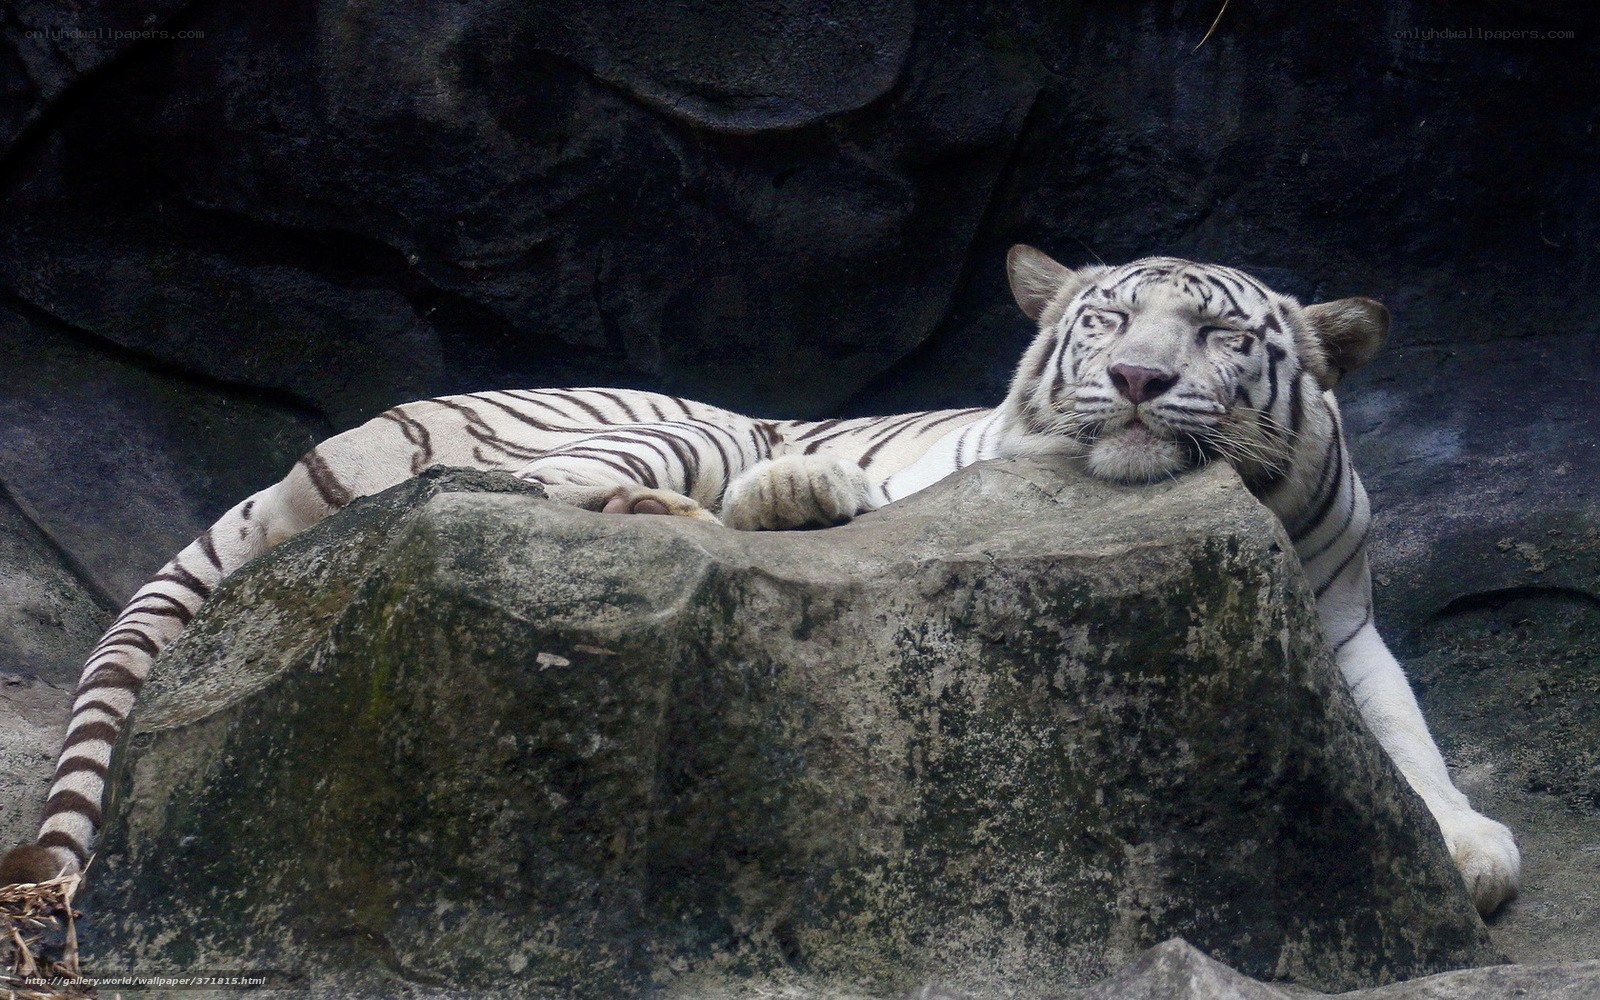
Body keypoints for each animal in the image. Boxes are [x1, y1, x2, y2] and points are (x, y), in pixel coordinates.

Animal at [0, 246, 1519, 916]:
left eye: (1211, 334)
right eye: (1106, 326)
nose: (1140, 382)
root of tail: (331, 437)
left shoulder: (1339, 613)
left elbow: (1404, 730)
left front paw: (1466, 843)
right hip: (643, 423)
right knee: (536, 492)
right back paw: (777, 495)